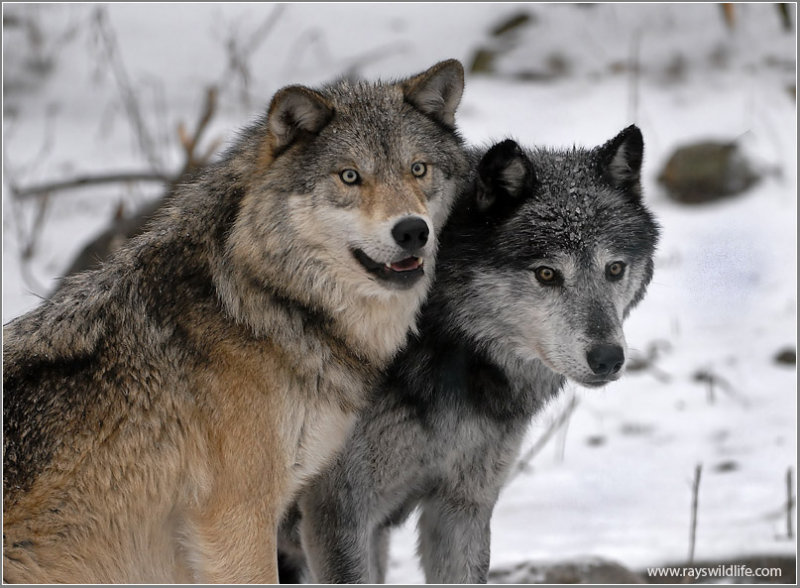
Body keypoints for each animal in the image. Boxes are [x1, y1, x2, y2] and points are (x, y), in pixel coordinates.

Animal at [283, 126, 660, 583]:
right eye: (547, 273)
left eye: (615, 269)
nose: (607, 358)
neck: (439, 344)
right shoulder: (338, 514)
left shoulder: (461, 510)